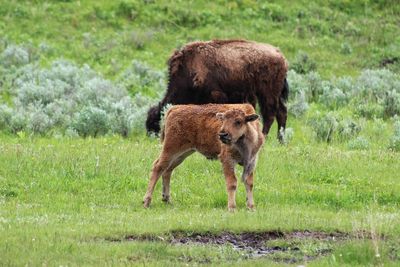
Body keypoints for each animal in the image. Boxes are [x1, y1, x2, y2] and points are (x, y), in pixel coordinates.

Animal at [145, 39, 290, 141]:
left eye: (156, 123)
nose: (150, 137)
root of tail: (280, 55)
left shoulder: (216, 96)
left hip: (268, 93)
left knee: (270, 114)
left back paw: (264, 136)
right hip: (274, 94)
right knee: (281, 112)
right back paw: (281, 139)